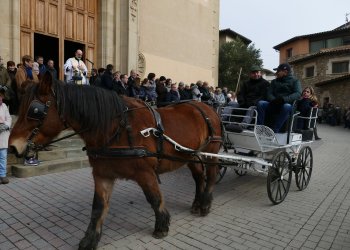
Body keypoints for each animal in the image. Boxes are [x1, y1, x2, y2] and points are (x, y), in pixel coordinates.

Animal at [9, 73, 223, 249]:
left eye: (34, 110)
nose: (12, 146)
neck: (116, 129)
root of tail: (207, 108)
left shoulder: (146, 173)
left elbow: (155, 199)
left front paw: (161, 225)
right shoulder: (102, 175)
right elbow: (98, 207)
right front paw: (90, 239)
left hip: (210, 153)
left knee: (211, 176)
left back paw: (205, 204)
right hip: (190, 156)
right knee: (199, 177)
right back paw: (197, 203)